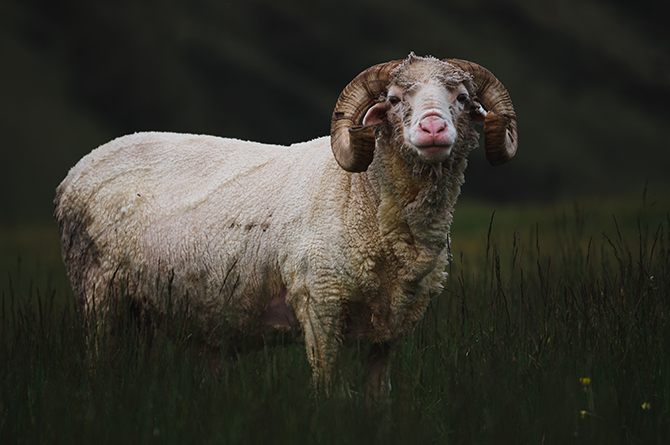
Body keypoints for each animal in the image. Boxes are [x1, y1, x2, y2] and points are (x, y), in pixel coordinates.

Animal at [57, 53, 520, 394]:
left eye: (463, 98)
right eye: (392, 99)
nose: (433, 128)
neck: (363, 195)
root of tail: (77, 170)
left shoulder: (393, 325)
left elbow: (378, 395)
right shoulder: (320, 303)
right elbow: (327, 388)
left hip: (145, 308)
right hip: (98, 293)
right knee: (99, 359)